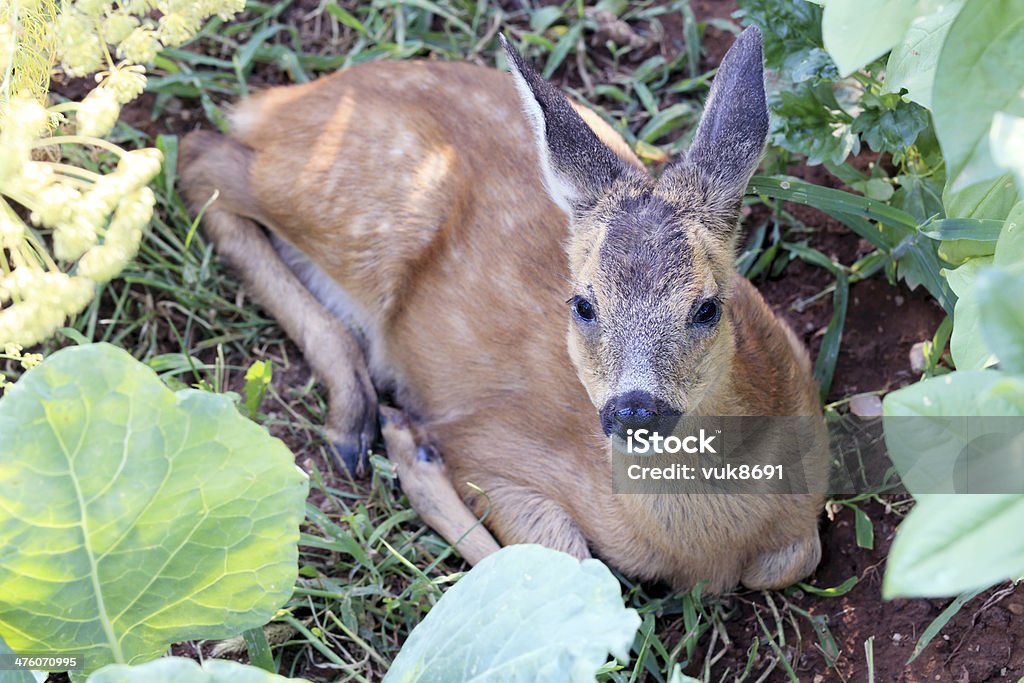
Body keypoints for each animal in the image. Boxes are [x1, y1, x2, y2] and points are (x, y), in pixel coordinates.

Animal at [180, 28, 827, 593]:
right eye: (583, 303)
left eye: (708, 307)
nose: (634, 411)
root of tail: (279, 103)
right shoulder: (492, 445)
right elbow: (569, 578)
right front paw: (414, 449)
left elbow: (797, 557)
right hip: (368, 209)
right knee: (198, 154)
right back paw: (356, 421)